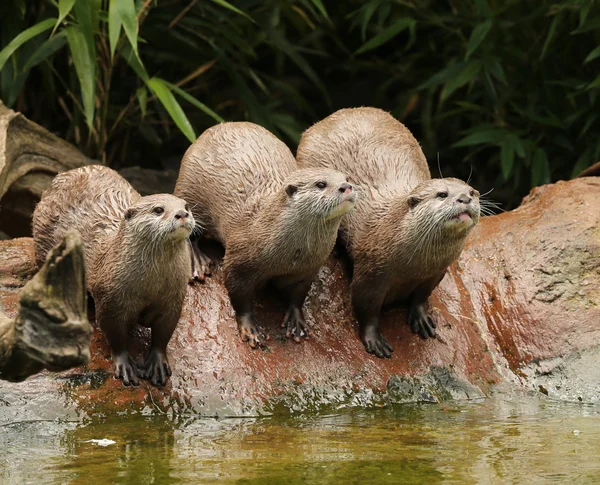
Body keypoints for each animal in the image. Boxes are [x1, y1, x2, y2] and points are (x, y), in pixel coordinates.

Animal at [32, 166, 195, 386]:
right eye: (158, 210)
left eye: (186, 206)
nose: (182, 214)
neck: (150, 286)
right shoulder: (110, 300)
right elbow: (115, 334)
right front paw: (124, 364)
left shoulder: (174, 298)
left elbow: (164, 333)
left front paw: (157, 362)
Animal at [173, 123, 356, 346]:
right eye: (321, 184)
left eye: (346, 178)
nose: (346, 186)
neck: (290, 256)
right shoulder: (238, 261)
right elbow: (239, 295)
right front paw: (250, 328)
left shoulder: (308, 268)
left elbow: (298, 295)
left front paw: (297, 322)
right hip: (189, 191)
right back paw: (196, 263)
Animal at [298, 110, 480, 360]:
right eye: (442, 194)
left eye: (471, 191)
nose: (464, 198)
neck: (415, 265)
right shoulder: (371, 274)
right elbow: (366, 308)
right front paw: (374, 339)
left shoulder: (436, 272)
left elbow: (421, 296)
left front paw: (421, 318)